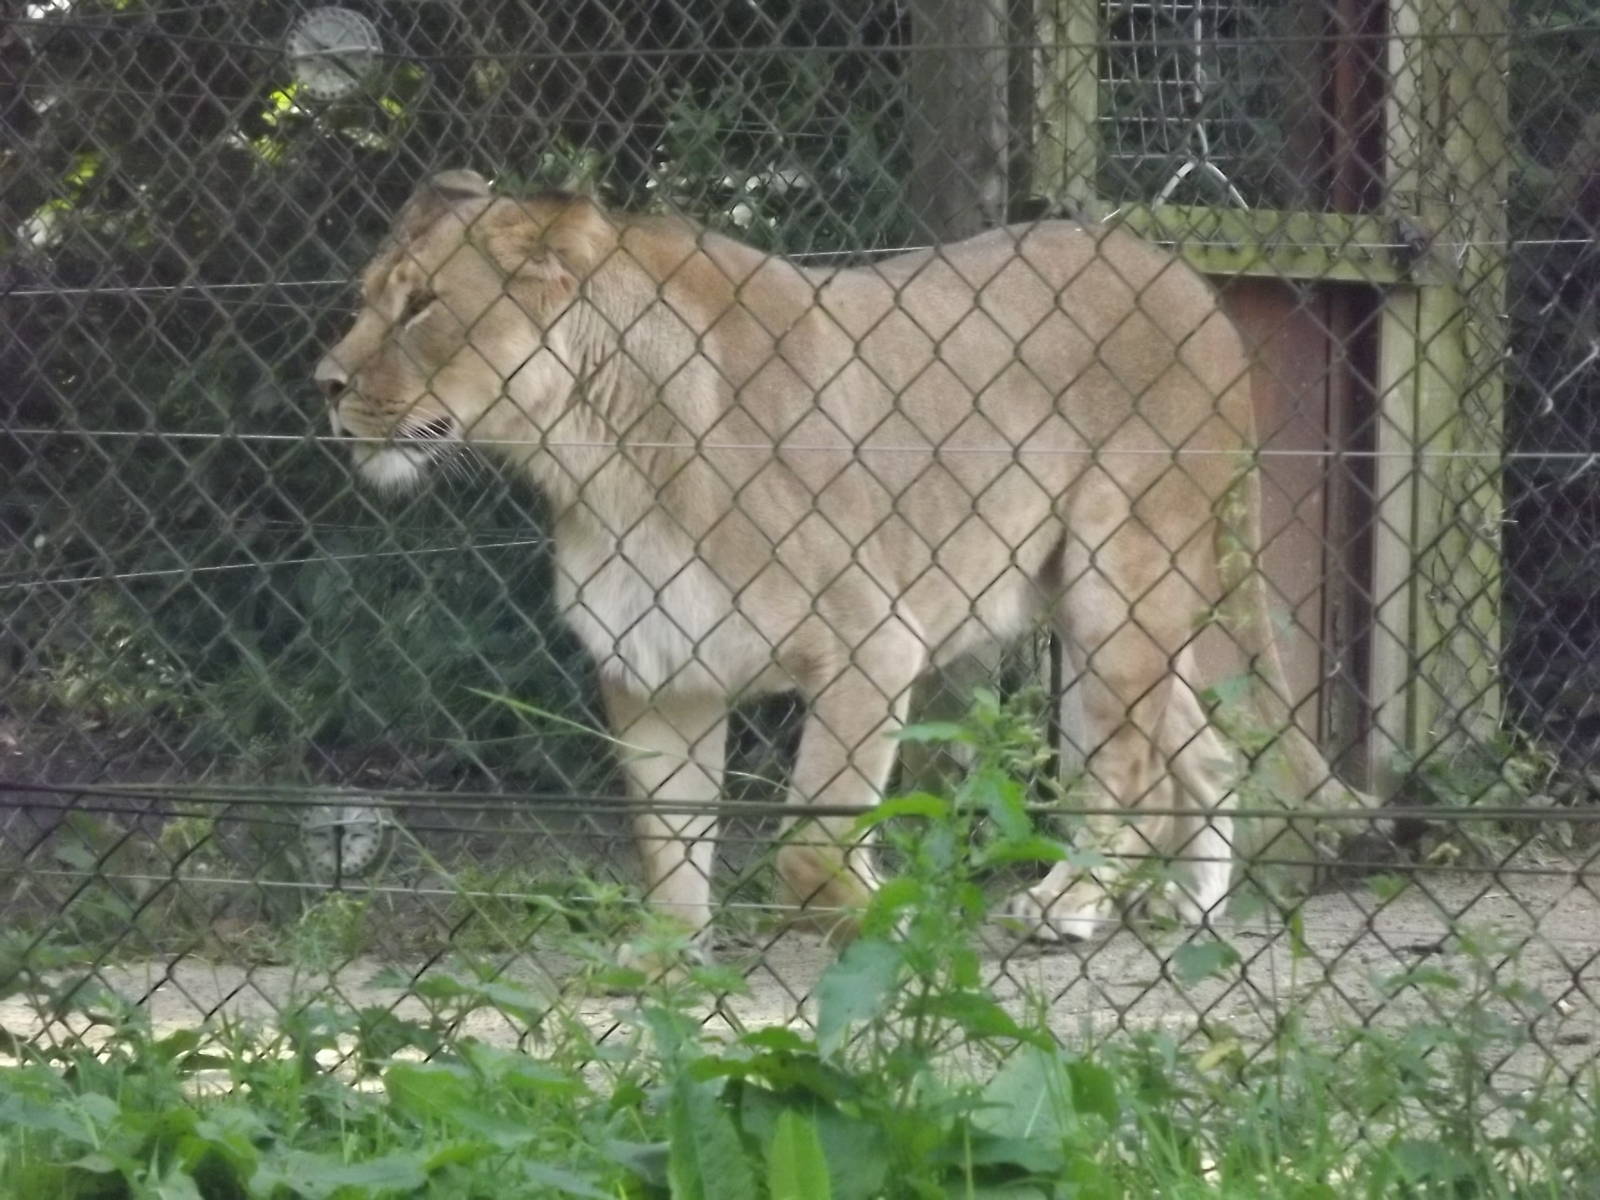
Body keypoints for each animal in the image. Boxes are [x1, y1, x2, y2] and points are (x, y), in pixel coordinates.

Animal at [315, 169, 1375, 951]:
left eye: (421, 307)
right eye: (365, 302)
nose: (324, 383)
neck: (594, 461)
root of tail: (1182, 276)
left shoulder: (873, 641)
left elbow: (810, 843)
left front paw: (890, 919)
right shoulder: (656, 672)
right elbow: (669, 853)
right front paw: (665, 978)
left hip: (1126, 576)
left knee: (1135, 766)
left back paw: (1069, 904)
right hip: (1079, 596)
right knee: (1201, 745)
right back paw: (1187, 912)